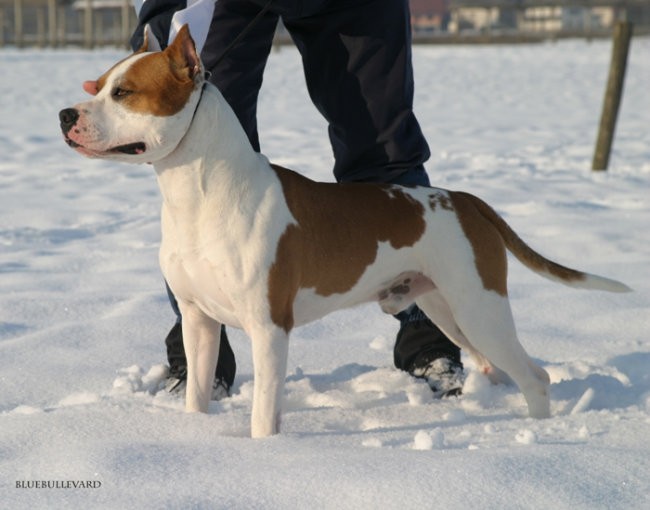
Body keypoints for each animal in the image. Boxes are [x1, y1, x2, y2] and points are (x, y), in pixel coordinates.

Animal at [59, 25, 628, 436]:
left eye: (124, 92)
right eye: (99, 84)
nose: (65, 112)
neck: (197, 193)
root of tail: (466, 200)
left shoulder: (270, 328)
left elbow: (264, 415)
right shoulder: (199, 321)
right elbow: (198, 396)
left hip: (478, 306)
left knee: (534, 375)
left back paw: (535, 437)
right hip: (449, 307)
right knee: (493, 365)